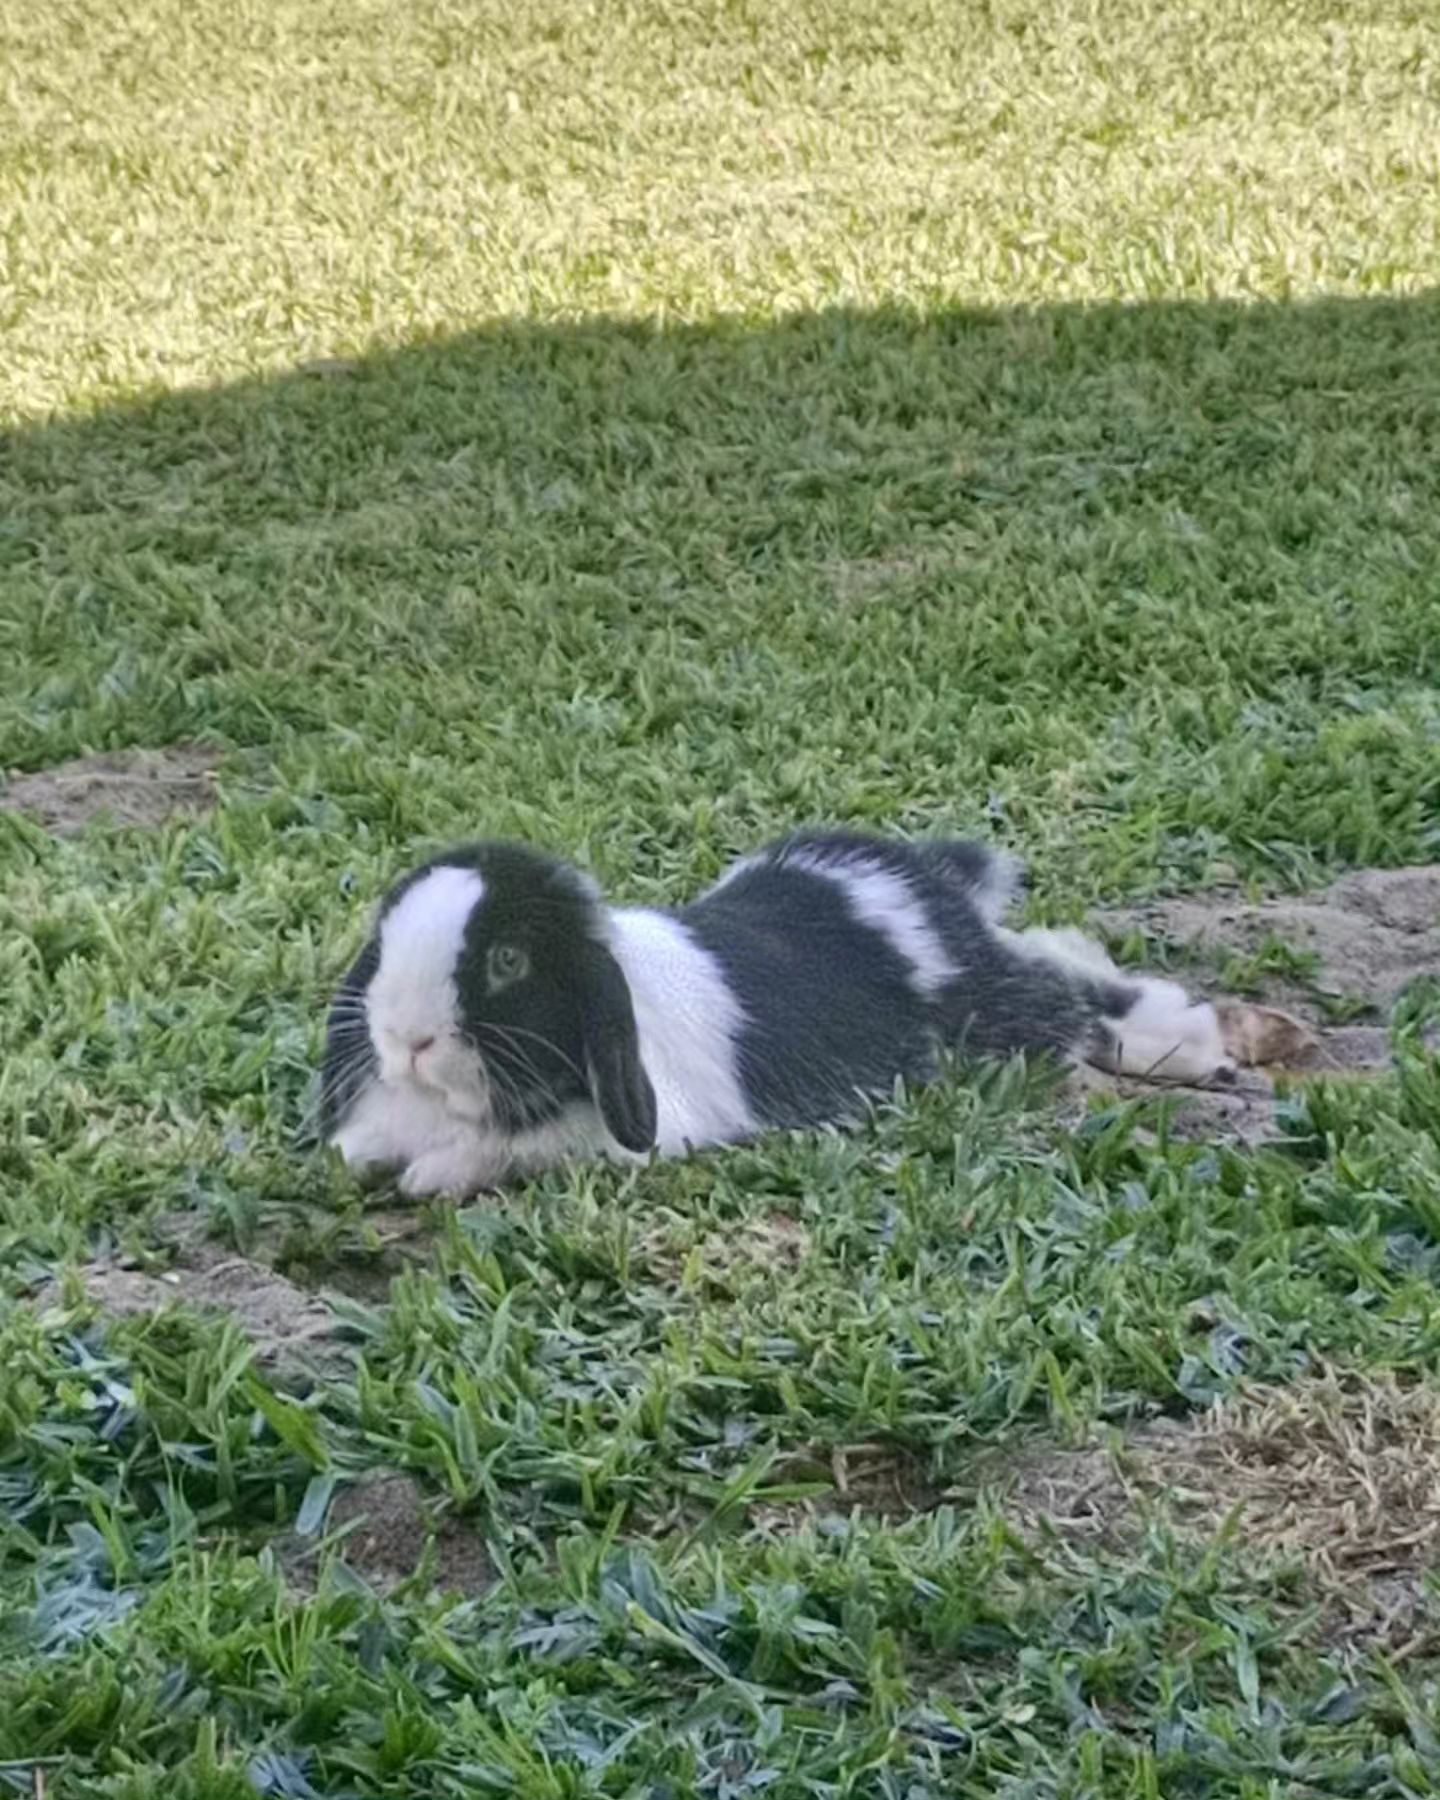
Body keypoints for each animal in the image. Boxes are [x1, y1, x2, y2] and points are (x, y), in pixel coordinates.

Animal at [320, 830, 1235, 1197]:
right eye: (385, 938)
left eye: (507, 961)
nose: (405, 1038)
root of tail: (903, 878)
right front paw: (366, 1156)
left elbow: (513, 1148)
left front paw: (431, 1176)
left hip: (988, 1007)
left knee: (1071, 998)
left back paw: (1188, 1040)